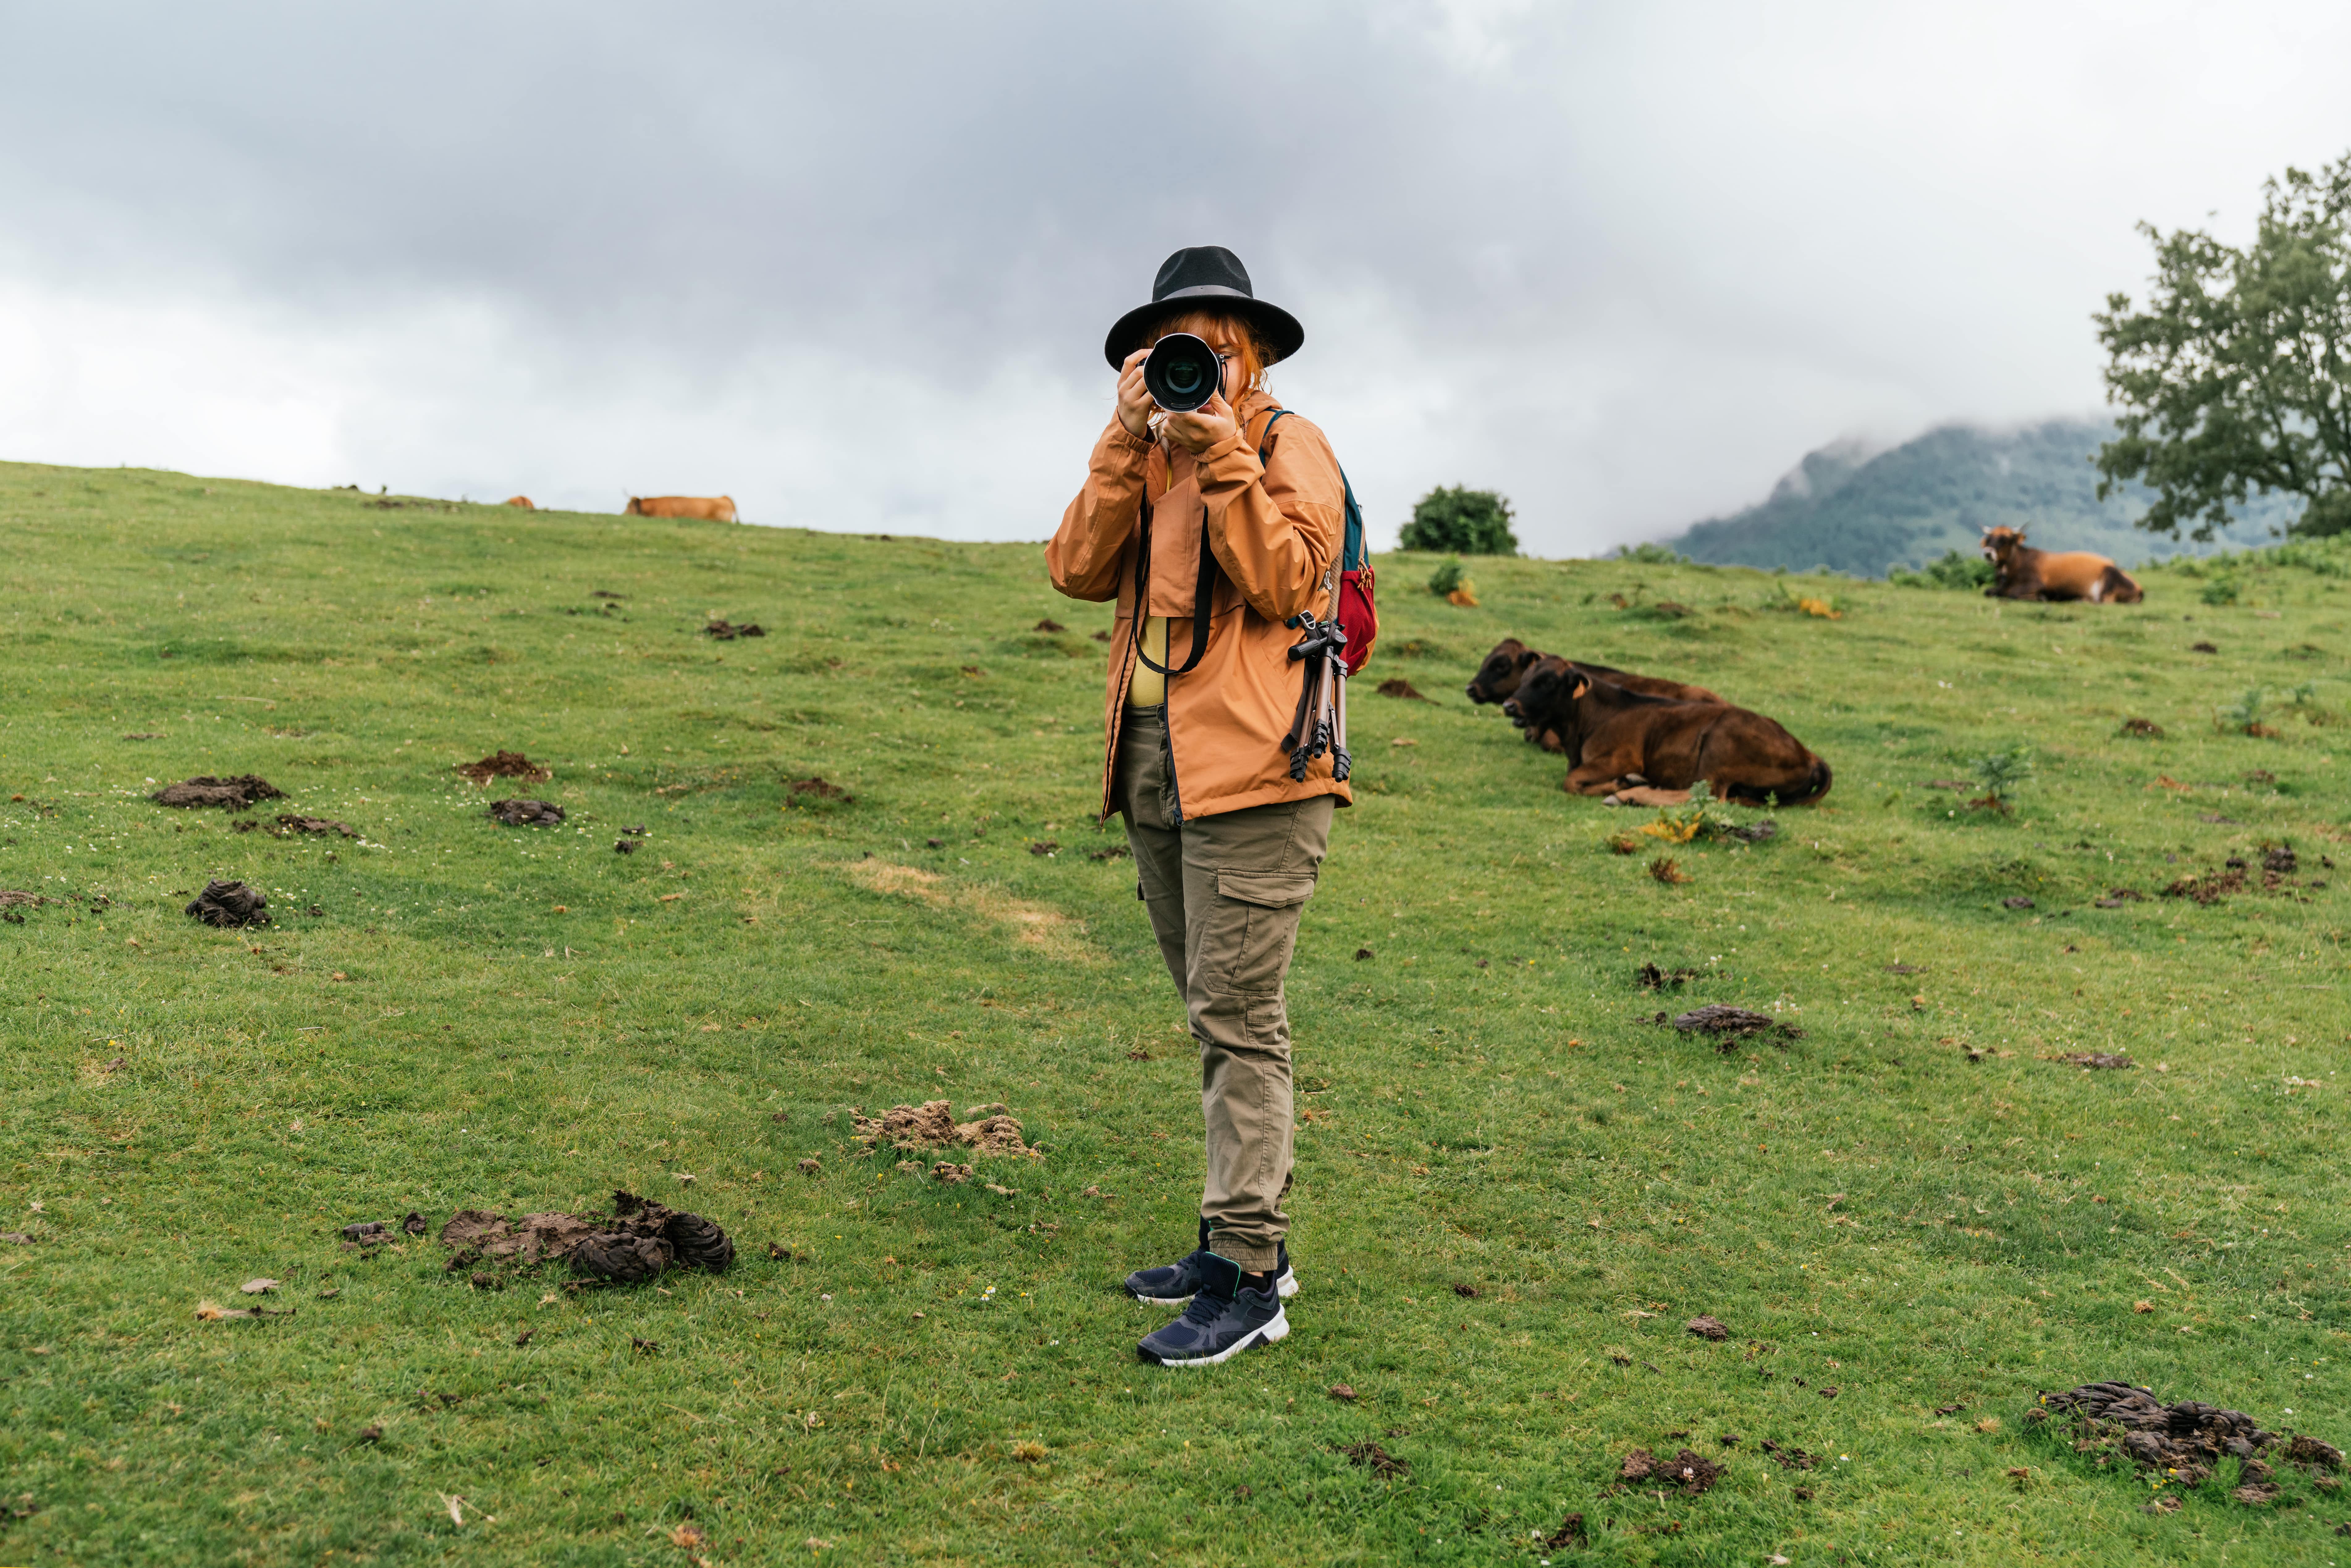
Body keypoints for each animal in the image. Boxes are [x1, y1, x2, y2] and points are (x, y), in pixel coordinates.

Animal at [1505, 668, 1834, 808]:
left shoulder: (1620, 758)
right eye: (1524, 679)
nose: (1509, 705)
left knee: (1705, 796)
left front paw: (1619, 785)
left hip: (1718, 748)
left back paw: (1629, 795)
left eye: (1547, 682)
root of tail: (1810, 755)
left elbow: (1571, 782)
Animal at [1984, 524, 2153, 606]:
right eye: (1989, 539)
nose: (1988, 553)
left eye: (2005, 540)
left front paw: (2040, 598)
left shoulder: (2038, 584)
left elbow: (2012, 594)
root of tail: (2140, 589)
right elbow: (1989, 591)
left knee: (2104, 602)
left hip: (2109, 582)